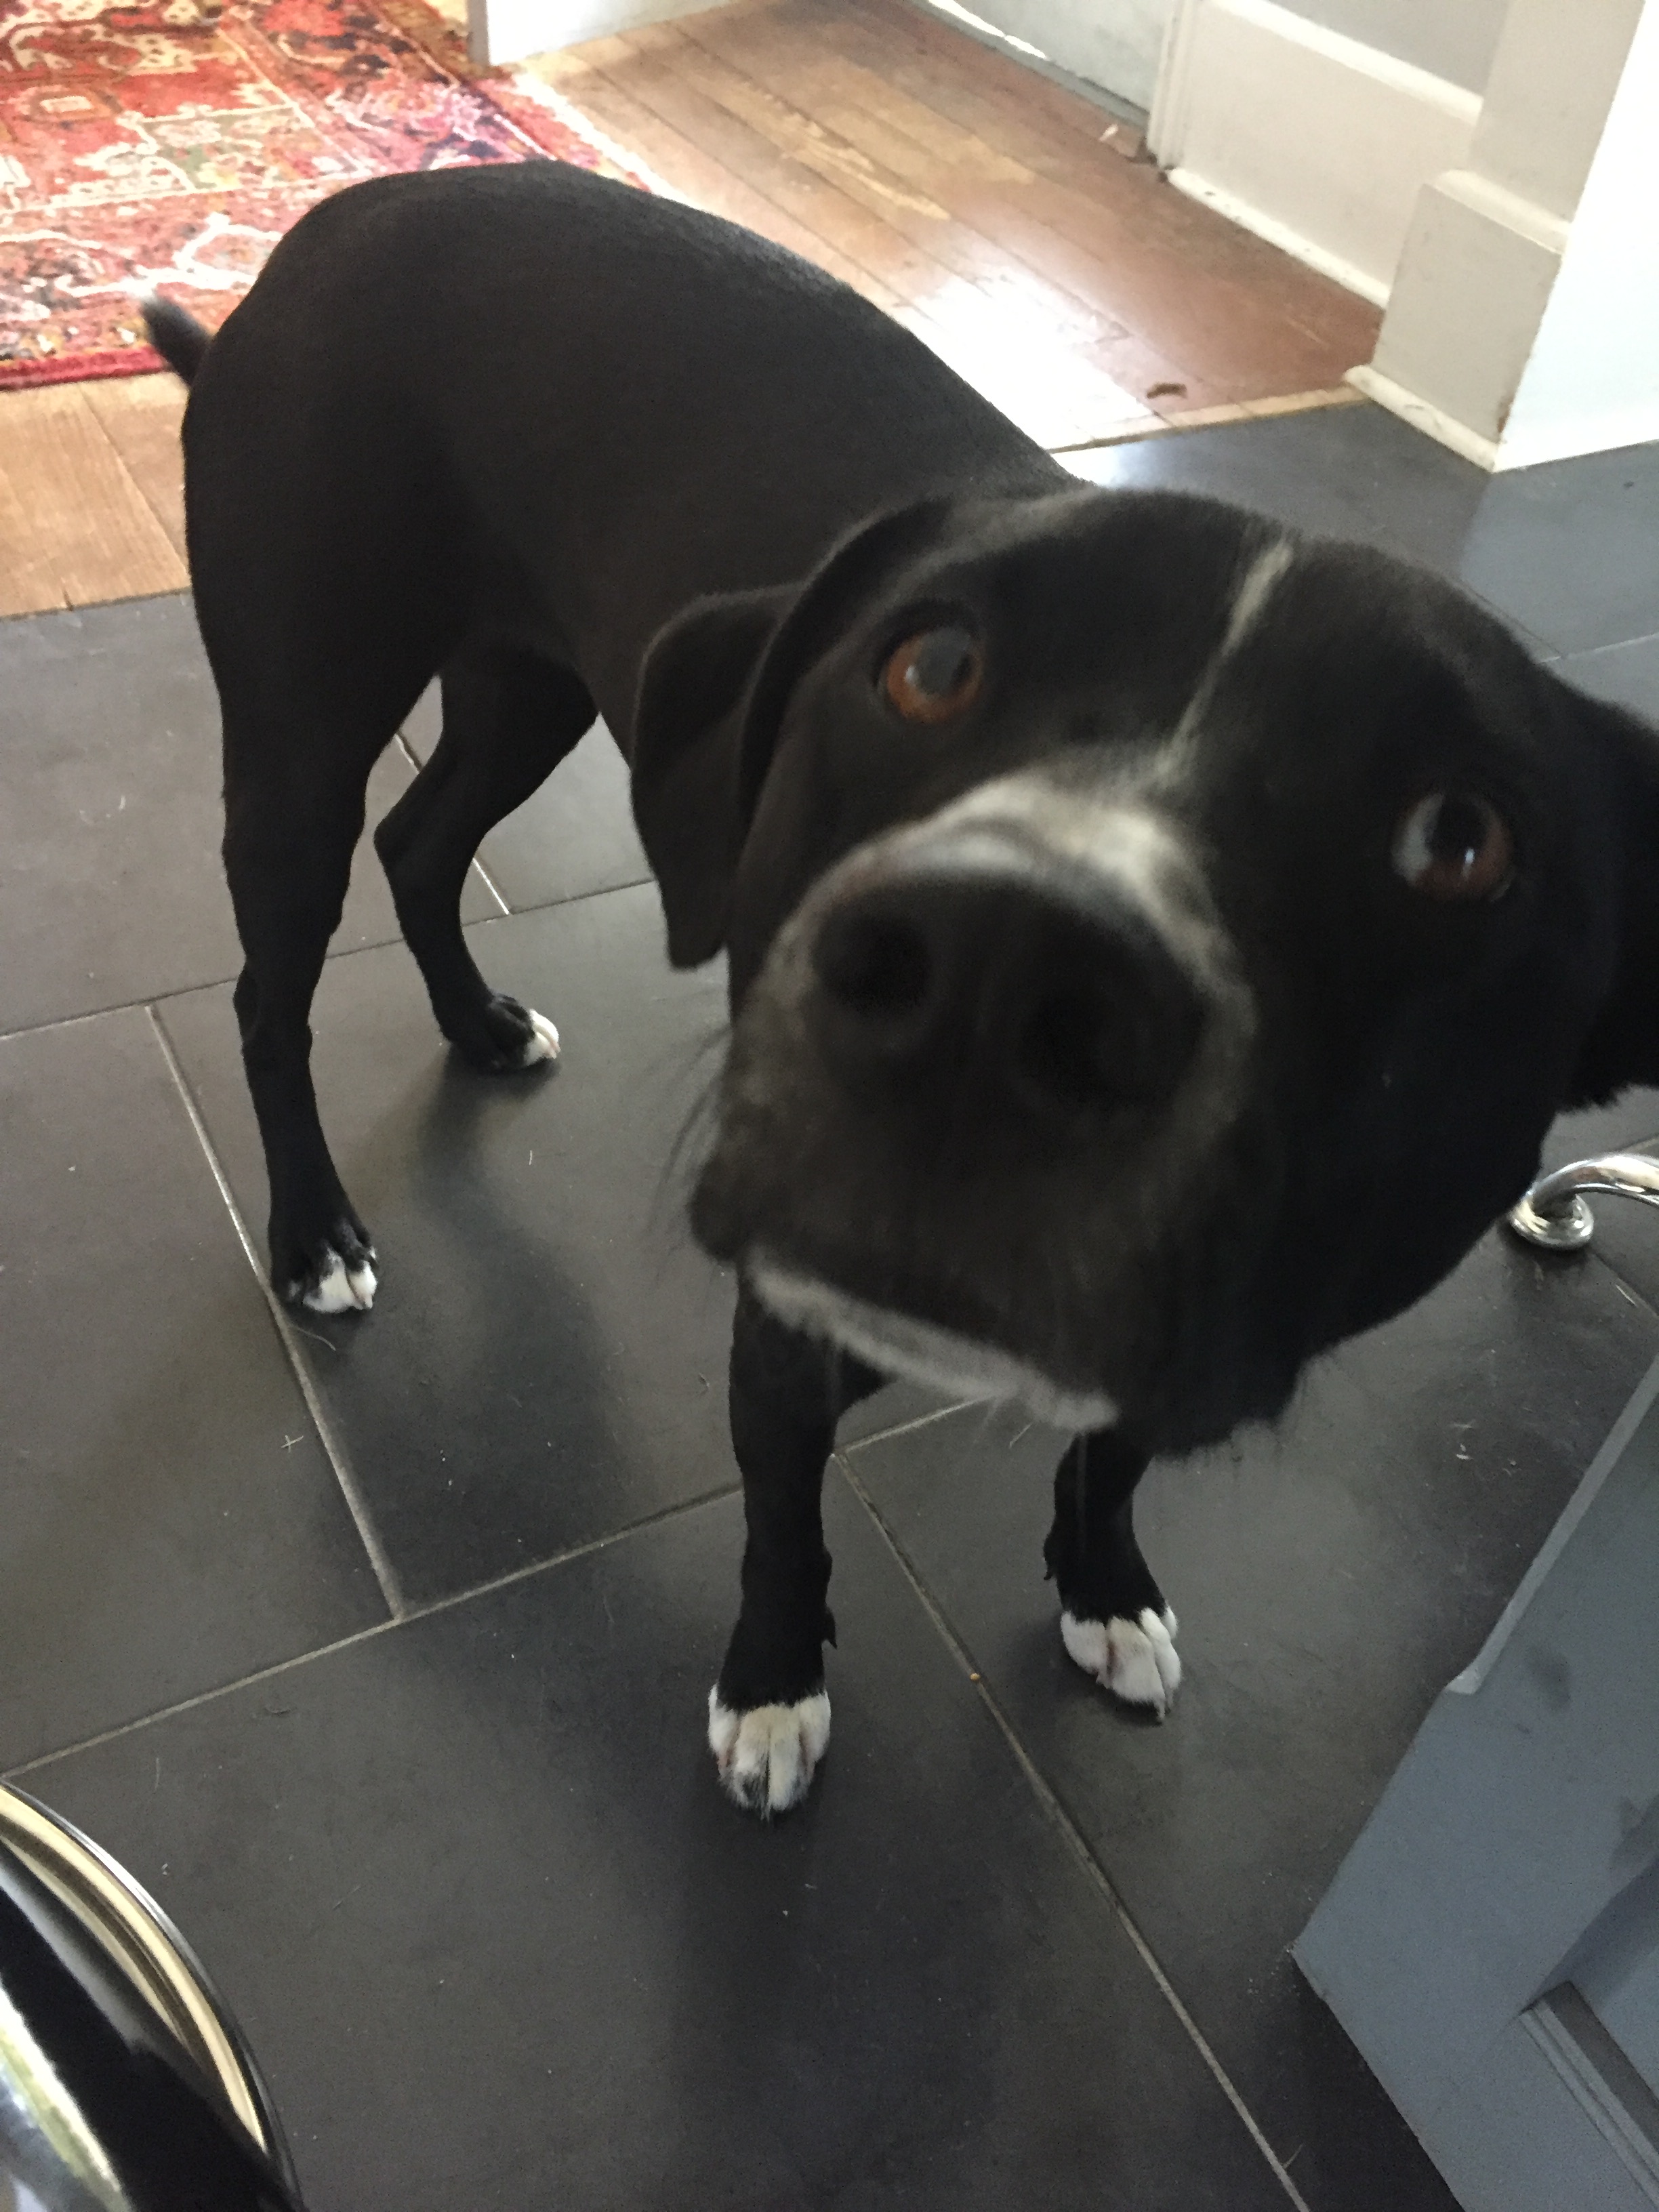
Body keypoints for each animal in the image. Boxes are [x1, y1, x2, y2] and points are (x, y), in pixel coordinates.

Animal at [145, 161, 1659, 1818]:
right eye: (928, 667)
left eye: (1461, 844)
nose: (1005, 977)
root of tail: (315, 238)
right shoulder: (784, 1333)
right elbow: (786, 1527)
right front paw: (772, 1686)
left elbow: (1112, 1458)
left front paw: (1103, 1582)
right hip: (300, 734)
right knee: (270, 995)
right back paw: (312, 1230)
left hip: (530, 687)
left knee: (423, 845)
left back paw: (477, 1026)